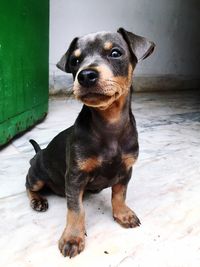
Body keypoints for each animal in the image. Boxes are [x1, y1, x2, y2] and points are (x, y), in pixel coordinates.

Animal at [25, 28, 155, 258]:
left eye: (115, 53)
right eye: (75, 61)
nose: (85, 75)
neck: (109, 123)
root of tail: (37, 155)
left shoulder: (126, 170)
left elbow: (119, 195)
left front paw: (123, 214)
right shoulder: (75, 176)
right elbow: (76, 209)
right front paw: (72, 238)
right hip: (37, 176)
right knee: (29, 185)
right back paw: (38, 200)